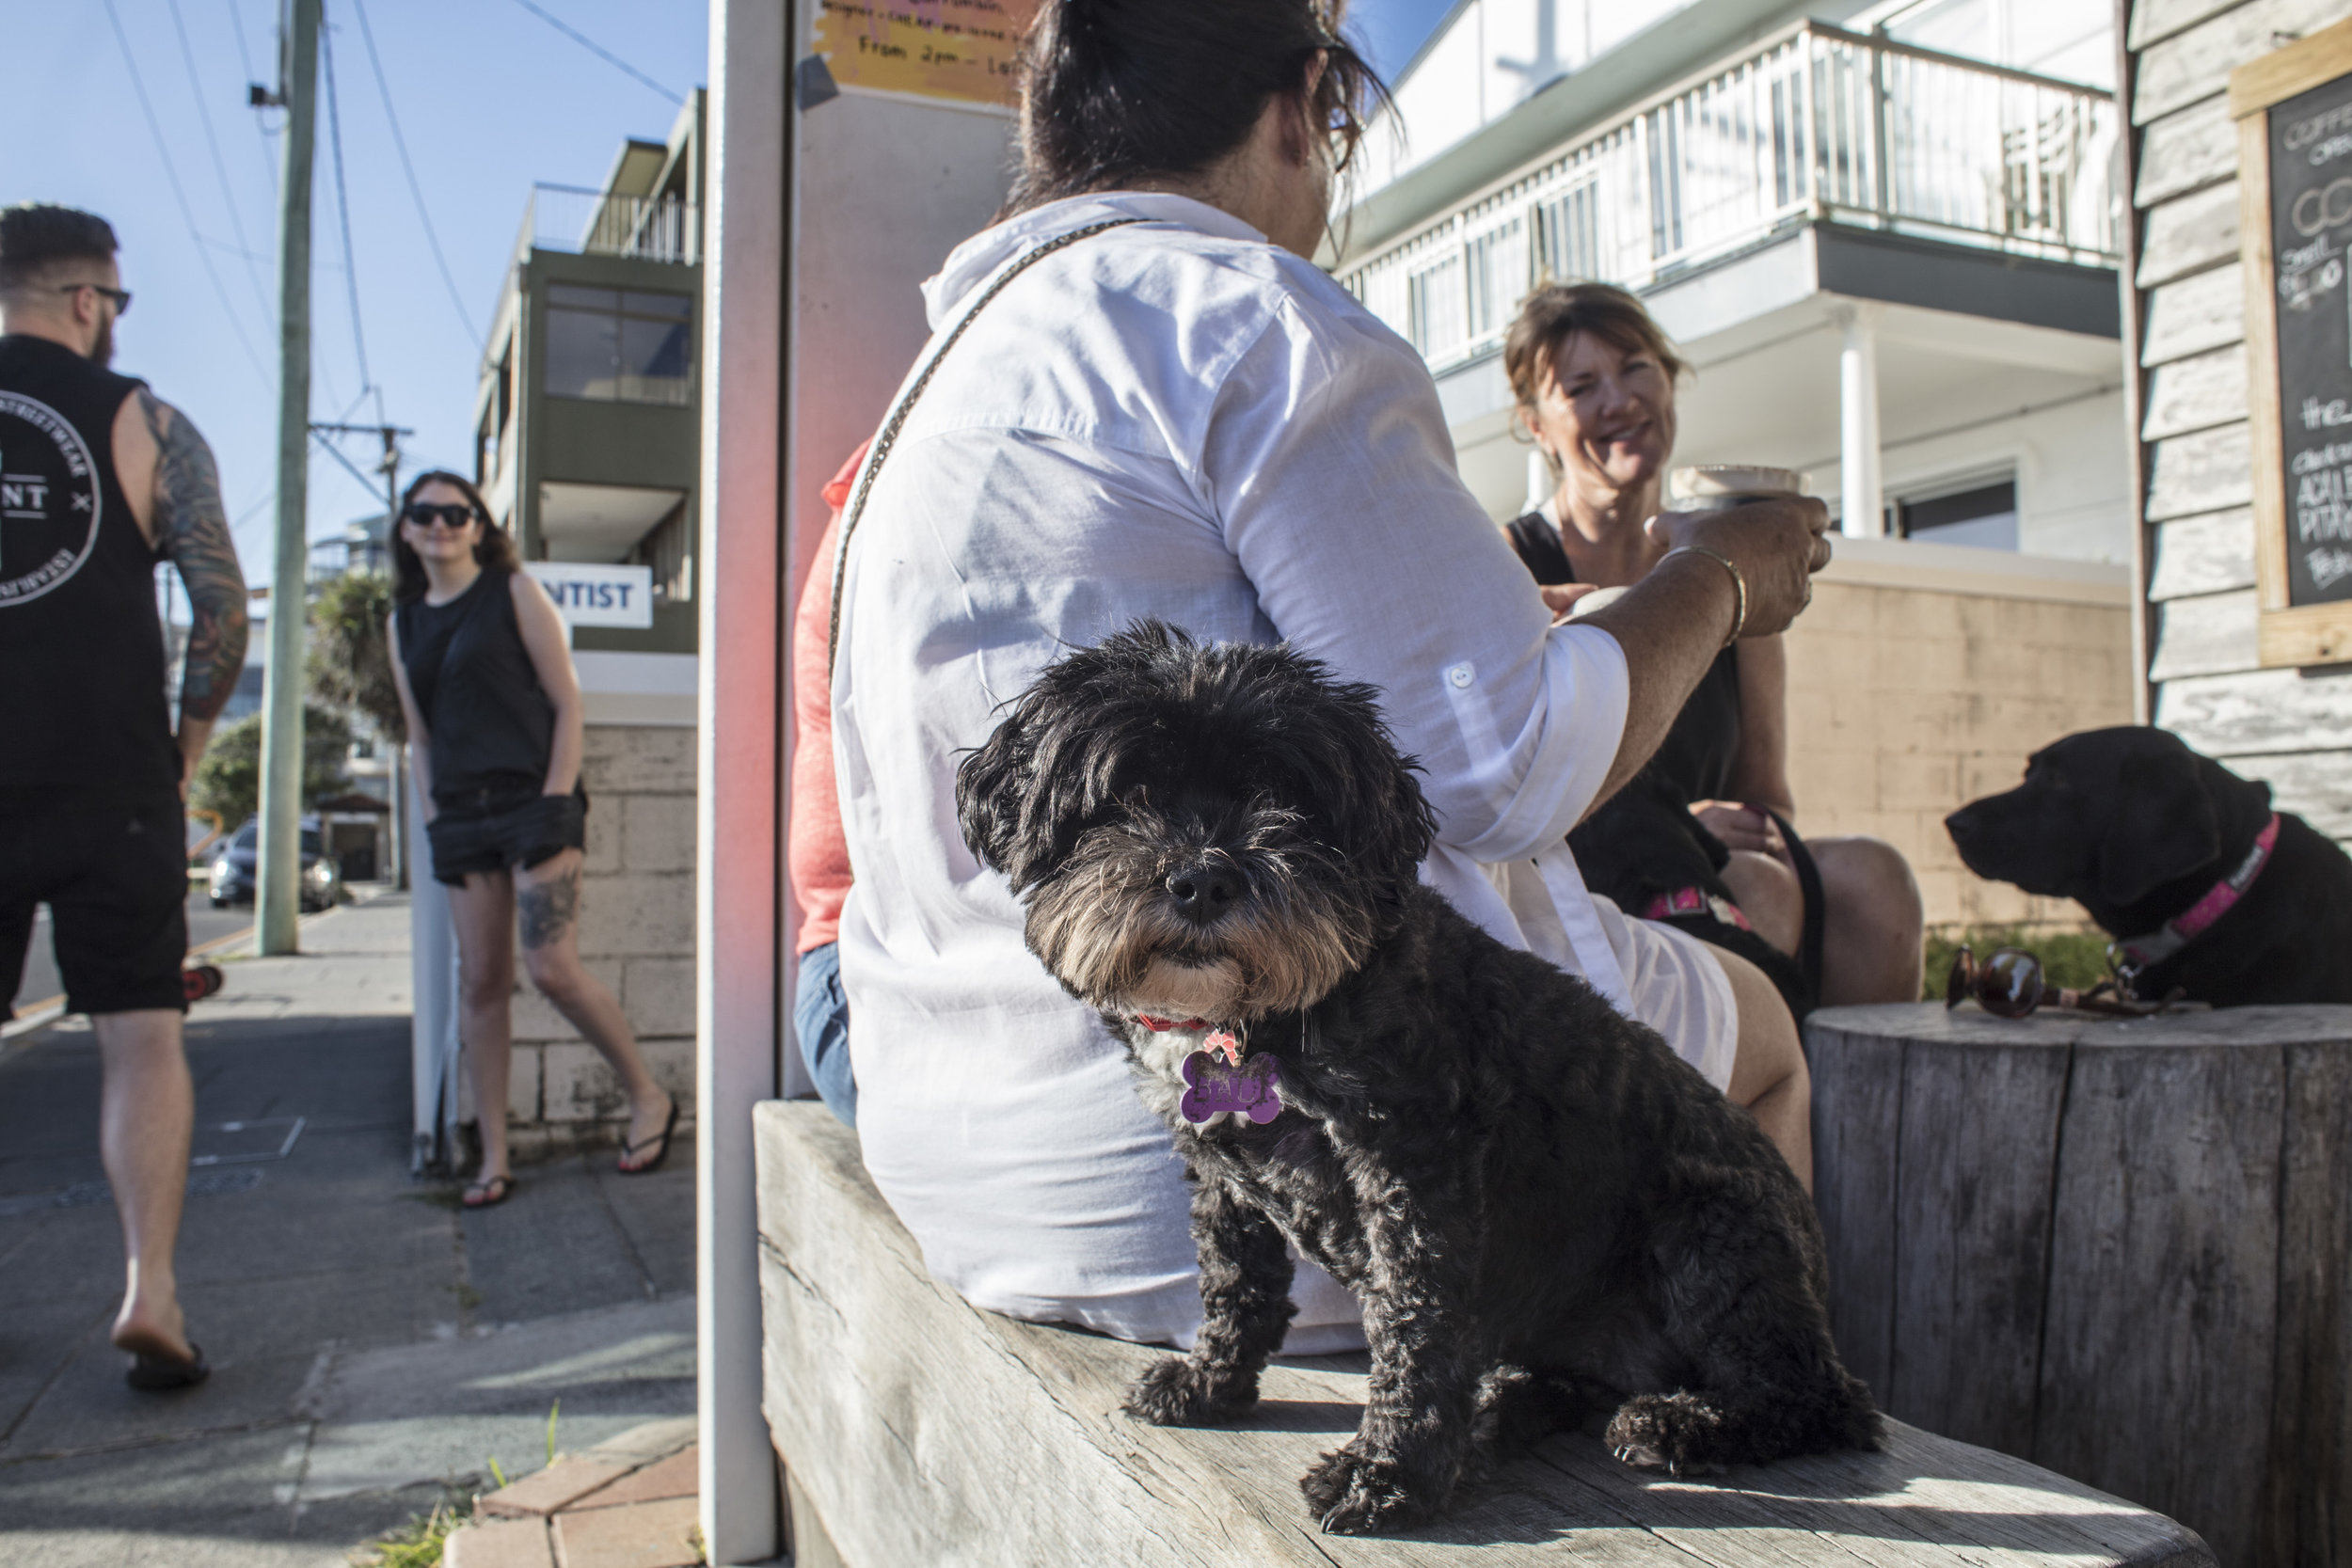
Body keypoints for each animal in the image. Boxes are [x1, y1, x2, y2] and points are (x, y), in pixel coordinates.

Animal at [946, 620, 1882, 1532]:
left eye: (1282, 798)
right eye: (1130, 792)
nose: (1203, 876)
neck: (1258, 1019)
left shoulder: (1414, 1165)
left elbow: (1414, 1316)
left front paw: (1389, 1472)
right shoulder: (1217, 1168)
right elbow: (1236, 1282)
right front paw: (1211, 1382)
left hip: (1710, 1225)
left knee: (1826, 1401)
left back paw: (1680, 1422)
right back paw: (1510, 1403)